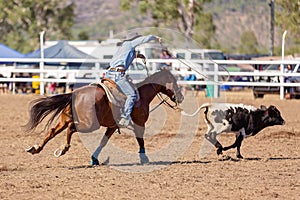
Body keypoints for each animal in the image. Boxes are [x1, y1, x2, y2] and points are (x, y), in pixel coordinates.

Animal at [24, 69, 183, 165]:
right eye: (175, 82)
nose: (180, 97)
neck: (141, 96)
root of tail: (75, 93)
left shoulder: (112, 126)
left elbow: (103, 142)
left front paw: (94, 159)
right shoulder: (139, 124)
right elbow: (141, 141)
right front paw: (144, 158)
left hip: (65, 120)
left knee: (52, 131)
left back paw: (36, 148)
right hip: (89, 124)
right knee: (71, 128)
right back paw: (64, 148)